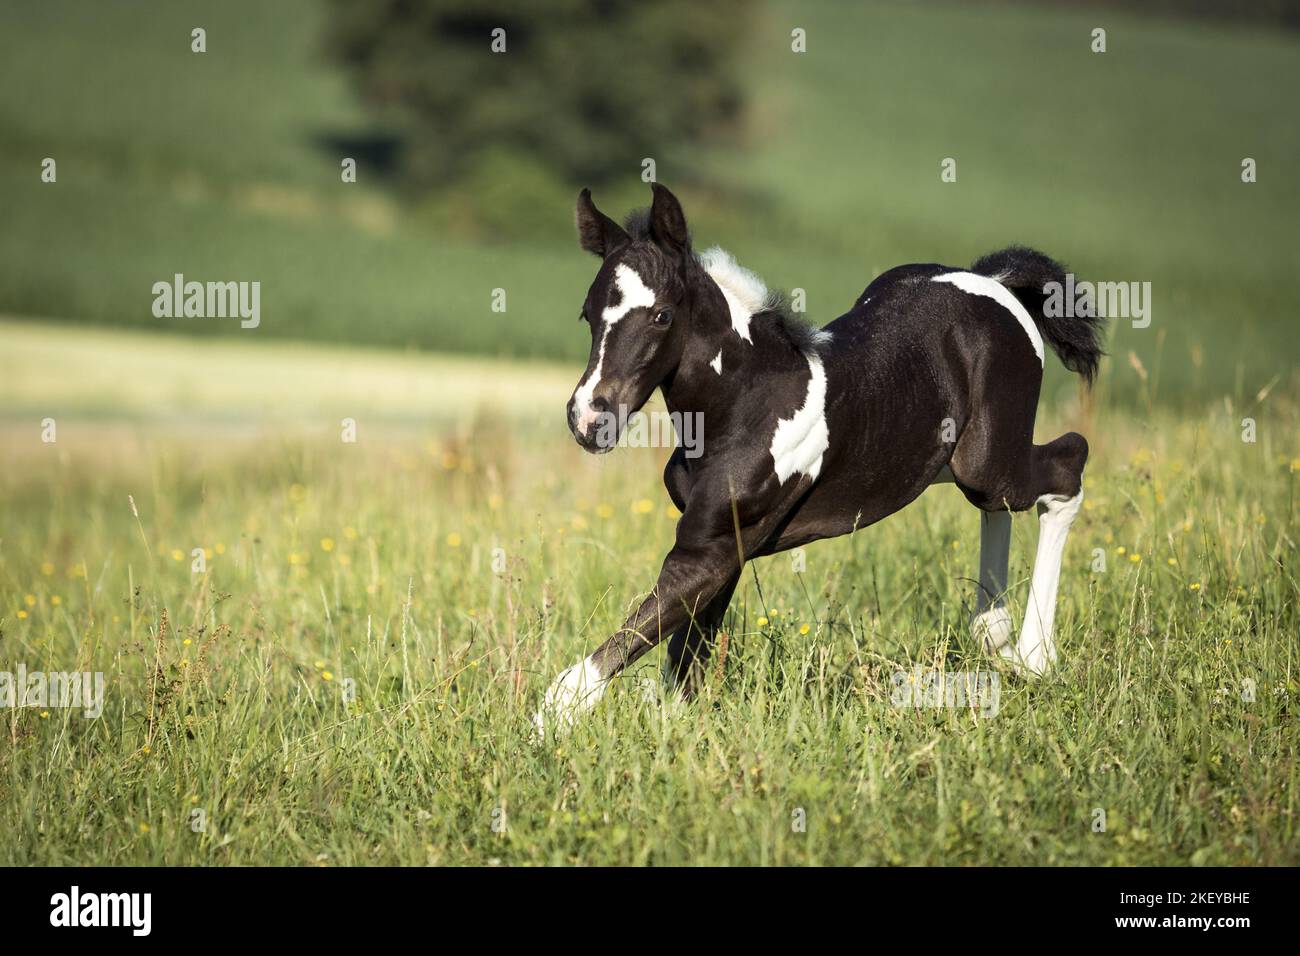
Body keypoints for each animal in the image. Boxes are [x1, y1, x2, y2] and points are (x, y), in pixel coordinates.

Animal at [533, 183, 1104, 734]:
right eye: (588, 314)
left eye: (661, 315)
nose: (589, 419)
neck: (746, 402)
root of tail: (994, 281)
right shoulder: (724, 546)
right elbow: (684, 664)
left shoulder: (709, 550)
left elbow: (588, 674)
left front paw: (547, 732)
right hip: (949, 463)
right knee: (1000, 506)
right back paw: (994, 632)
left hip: (990, 460)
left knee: (1067, 466)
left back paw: (1034, 656)